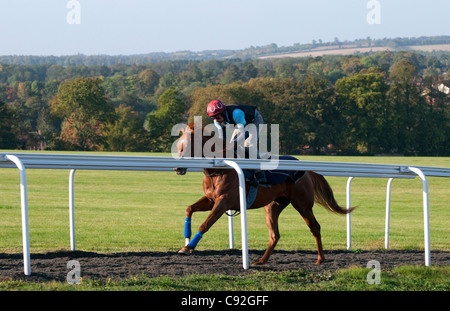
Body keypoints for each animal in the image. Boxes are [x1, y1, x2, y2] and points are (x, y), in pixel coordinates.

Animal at [173, 123, 352, 266]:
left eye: (186, 147)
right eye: (179, 147)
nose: (177, 168)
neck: (220, 168)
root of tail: (306, 171)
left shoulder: (223, 201)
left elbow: (206, 224)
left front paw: (188, 247)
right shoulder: (212, 199)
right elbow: (189, 209)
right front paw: (186, 238)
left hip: (302, 205)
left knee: (315, 227)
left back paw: (320, 259)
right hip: (273, 206)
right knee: (275, 235)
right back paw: (261, 261)